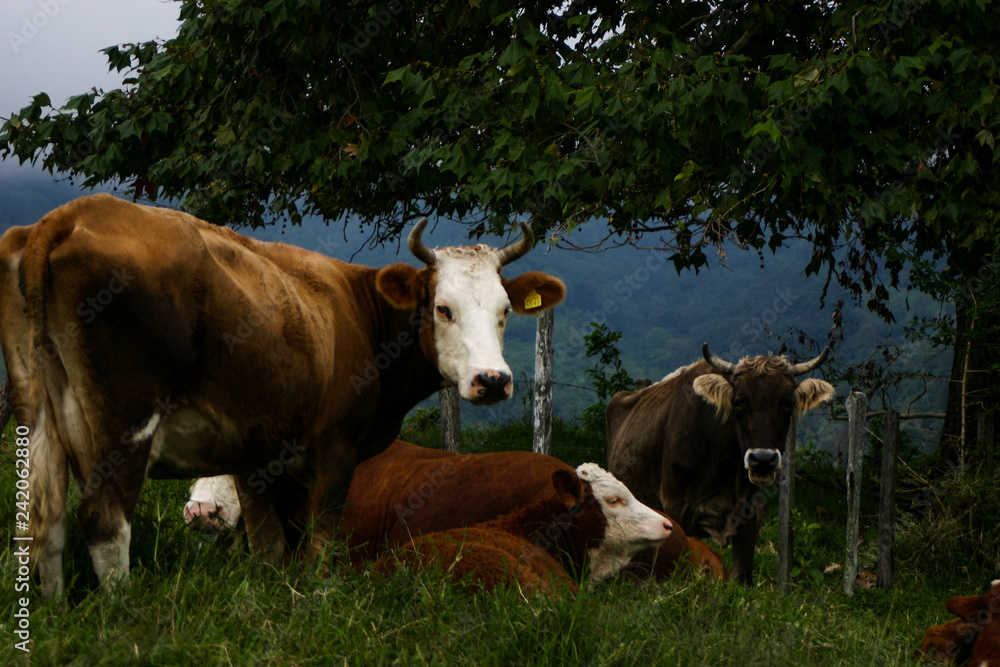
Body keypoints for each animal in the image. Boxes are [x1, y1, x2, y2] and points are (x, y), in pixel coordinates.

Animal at [0, 193, 564, 596]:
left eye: (505, 310)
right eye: (443, 308)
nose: (492, 380)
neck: (359, 314)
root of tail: (70, 215)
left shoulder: (255, 452)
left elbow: (268, 545)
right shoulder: (337, 445)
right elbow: (320, 540)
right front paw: (317, 599)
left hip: (40, 415)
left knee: (40, 519)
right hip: (125, 420)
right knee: (105, 520)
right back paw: (121, 613)